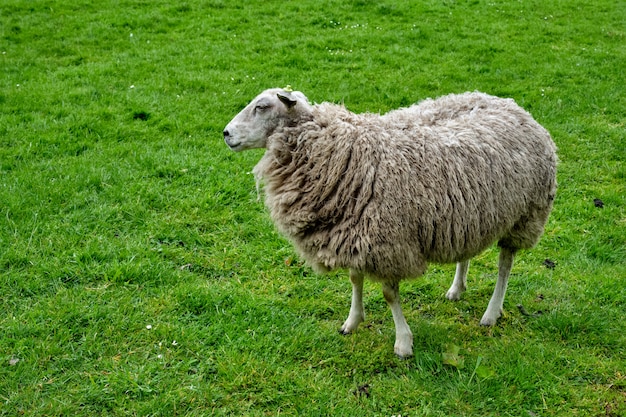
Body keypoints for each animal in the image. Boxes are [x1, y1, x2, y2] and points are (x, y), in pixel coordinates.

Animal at [222, 86, 552, 356]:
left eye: (262, 107)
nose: (225, 133)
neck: (336, 149)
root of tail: (511, 104)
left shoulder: (389, 241)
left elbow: (389, 294)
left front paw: (403, 342)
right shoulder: (354, 232)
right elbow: (355, 279)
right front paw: (352, 321)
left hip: (525, 216)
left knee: (505, 264)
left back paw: (491, 313)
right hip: (469, 215)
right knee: (467, 252)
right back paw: (457, 289)